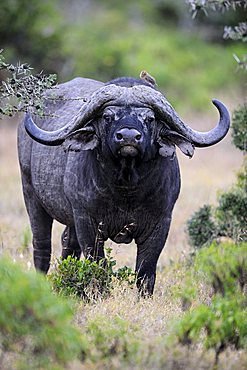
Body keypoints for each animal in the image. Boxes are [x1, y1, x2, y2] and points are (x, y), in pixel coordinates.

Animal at [17, 77, 230, 294]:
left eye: (149, 118)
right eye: (107, 116)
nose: (128, 137)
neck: (127, 190)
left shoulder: (160, 224)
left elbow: (145, 272)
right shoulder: (87, 222)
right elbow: (98, 265)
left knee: (68, 244)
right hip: (32, 196)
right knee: (42, 246)